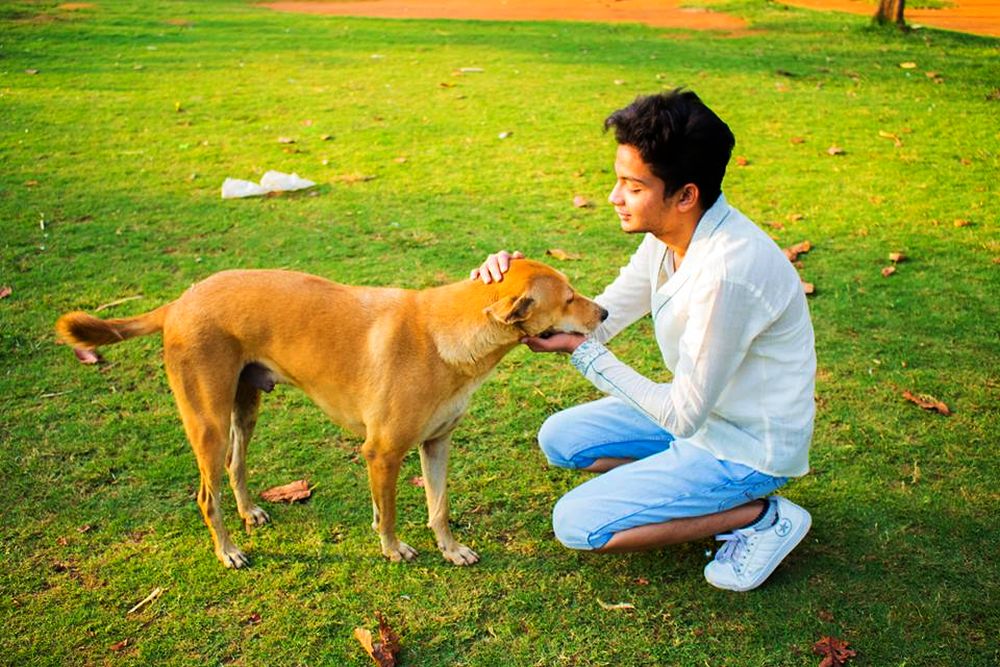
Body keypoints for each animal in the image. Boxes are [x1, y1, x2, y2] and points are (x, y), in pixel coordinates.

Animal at [56, 260, 608, 568]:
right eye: (568, 298)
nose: (603, 312)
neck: (445, 334)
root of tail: (178, 302)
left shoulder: (436, 445)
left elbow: (438, 506)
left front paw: (449, 549)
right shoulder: (382, 452)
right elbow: (391, 512)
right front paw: (393, 549)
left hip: (245, 408)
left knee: (236, 465)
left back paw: (248, 511)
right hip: (207, 423)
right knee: (205, 495)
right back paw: (227, 549)